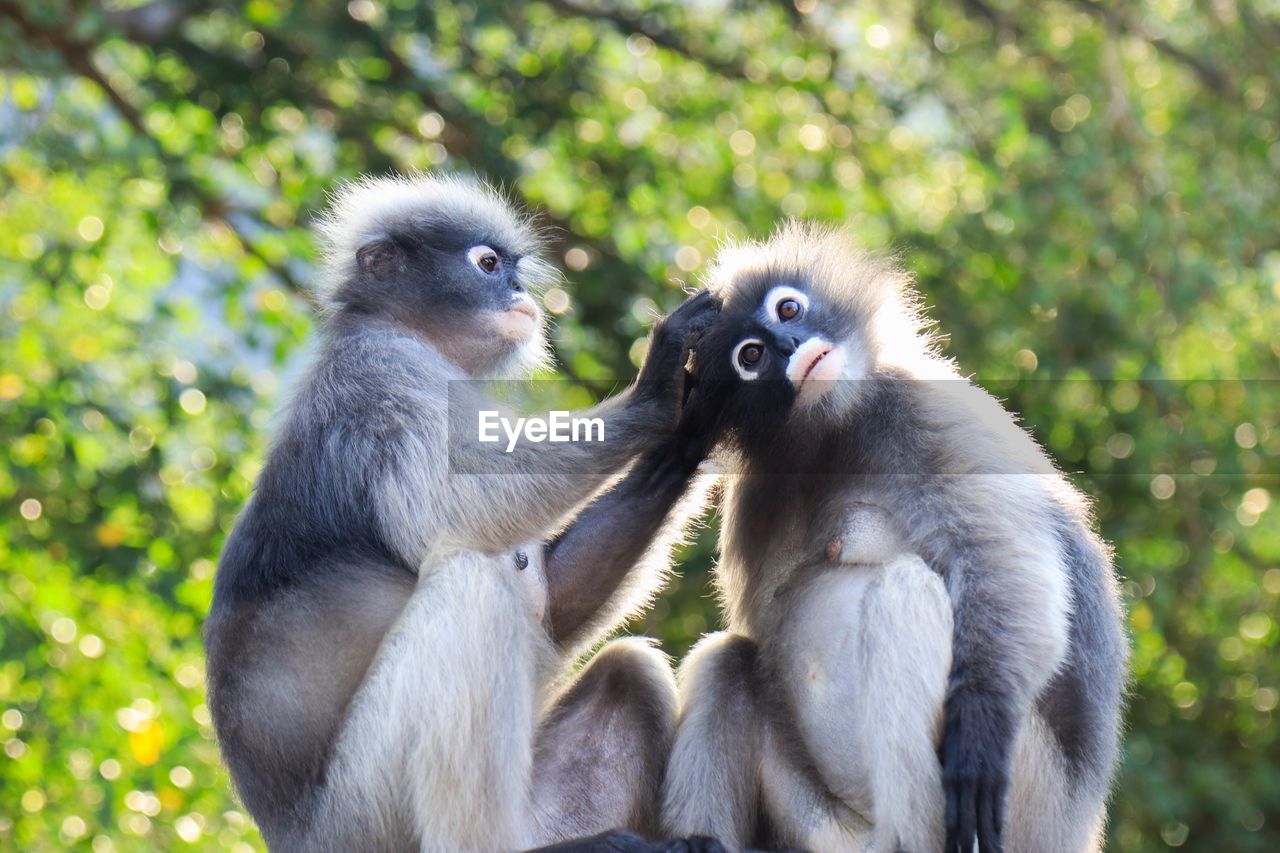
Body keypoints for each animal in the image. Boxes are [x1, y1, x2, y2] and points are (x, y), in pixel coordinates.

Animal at [202, 174, 721, 850]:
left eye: (512, 269)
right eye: (489, 265)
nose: (522, 292)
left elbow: (552, 605)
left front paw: (696, 427)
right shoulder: (386, 378)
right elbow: (466, 510)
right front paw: (658, 390)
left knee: (627, 666)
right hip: (367, 815)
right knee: (473, 586)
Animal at [660, 224, 1131, 850]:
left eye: (788, 309)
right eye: (752, 355)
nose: (790, 345)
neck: (835, 427)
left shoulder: (923, 408)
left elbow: (1005, 565)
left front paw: (980, 728)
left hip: (1028, 802)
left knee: (903, 588)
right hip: (822, 825)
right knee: (727, 659)